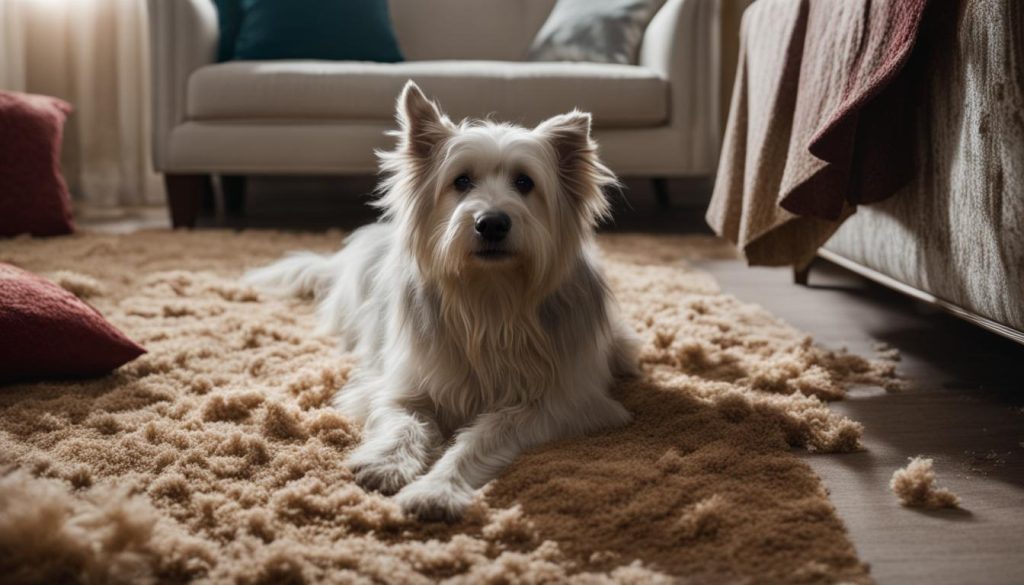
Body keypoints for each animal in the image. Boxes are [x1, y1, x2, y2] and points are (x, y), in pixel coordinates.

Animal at [243, 82, 634, 522]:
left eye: (525, 182)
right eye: (461, 181)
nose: (491, 223)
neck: (489, 296)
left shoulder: (554, 403)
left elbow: (480, 438)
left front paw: (437, 488)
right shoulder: (401, 385)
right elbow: (405, 422)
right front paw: (386, 464)